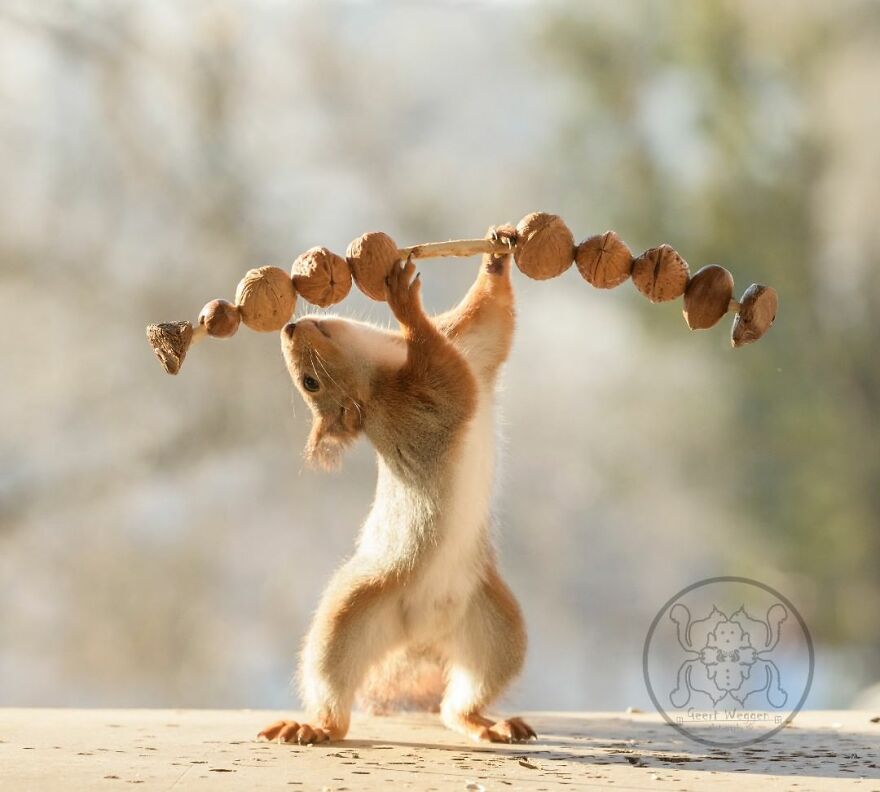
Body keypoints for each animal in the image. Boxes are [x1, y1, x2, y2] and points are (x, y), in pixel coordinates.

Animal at [258, 225, 534, 745]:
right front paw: (403, 302)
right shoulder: (420, 404)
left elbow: (490, 321)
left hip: (496, 631)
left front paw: (496, 253)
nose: (288, 328)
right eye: (310, 383)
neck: (383, 364)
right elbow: (447, 376)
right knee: (334, 691)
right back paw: (313, 725)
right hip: (351, 617)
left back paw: (485, 723)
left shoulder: (468, 344)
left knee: (461, 699)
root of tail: (422, 635)